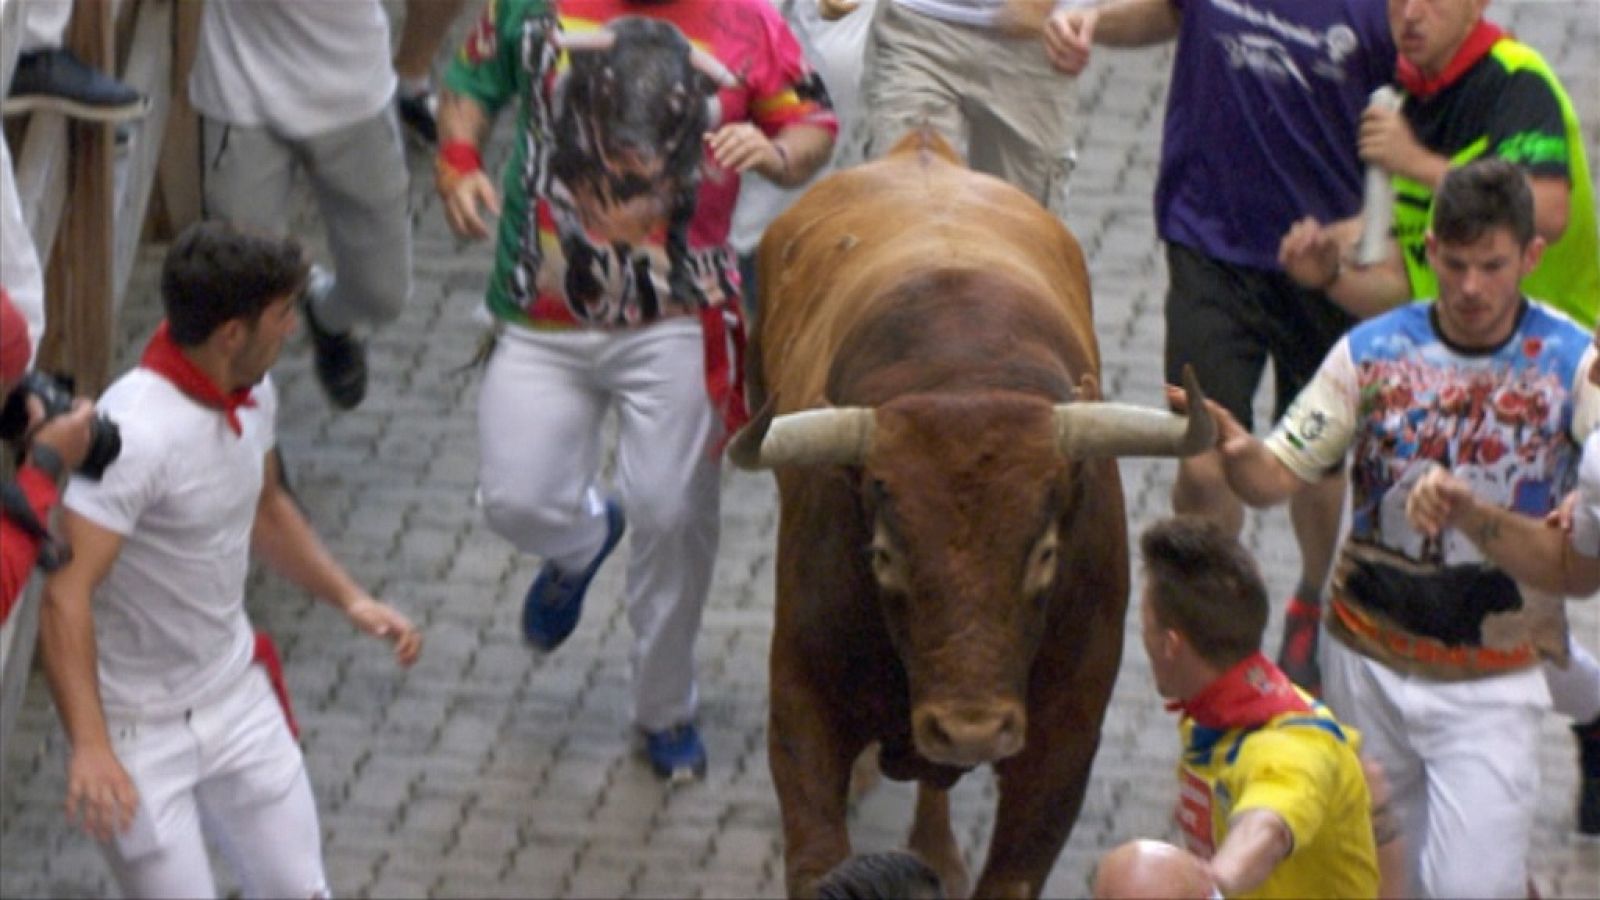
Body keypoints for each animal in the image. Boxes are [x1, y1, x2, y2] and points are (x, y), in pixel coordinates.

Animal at [729, 132, 1209, 896]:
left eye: (1046, 552)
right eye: (883, 553)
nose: (971, 729)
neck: (961, 374)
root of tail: (920, 150)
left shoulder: (1064, 744)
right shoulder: (803, 706)